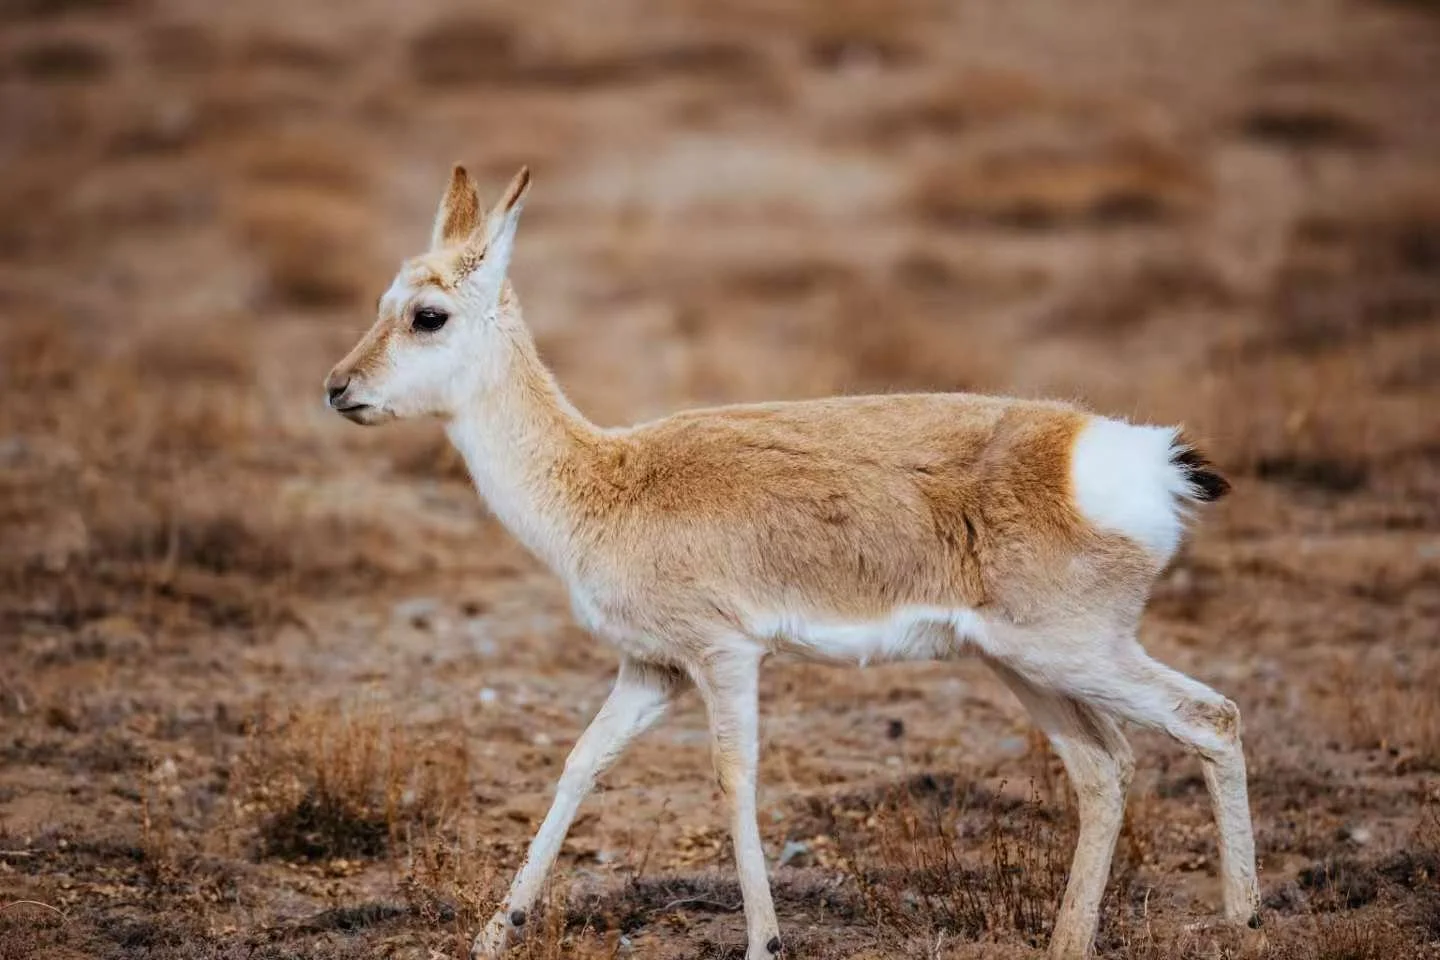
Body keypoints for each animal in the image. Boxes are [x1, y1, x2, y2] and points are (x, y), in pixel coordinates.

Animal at [324, 165, 1260, 959]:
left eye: (428, 314)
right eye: (383, 301)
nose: (337, 387)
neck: (606, 480)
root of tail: (1133, 455)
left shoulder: (726, 656)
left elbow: (733, 778)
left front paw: (764, 942)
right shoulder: (652, 670)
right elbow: (580, 763)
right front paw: (497, 930)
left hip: (1070, 654)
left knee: (1210, 717)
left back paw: (1246, 920)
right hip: (1024, 665)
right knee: (1106, 769)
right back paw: (1070, 940)